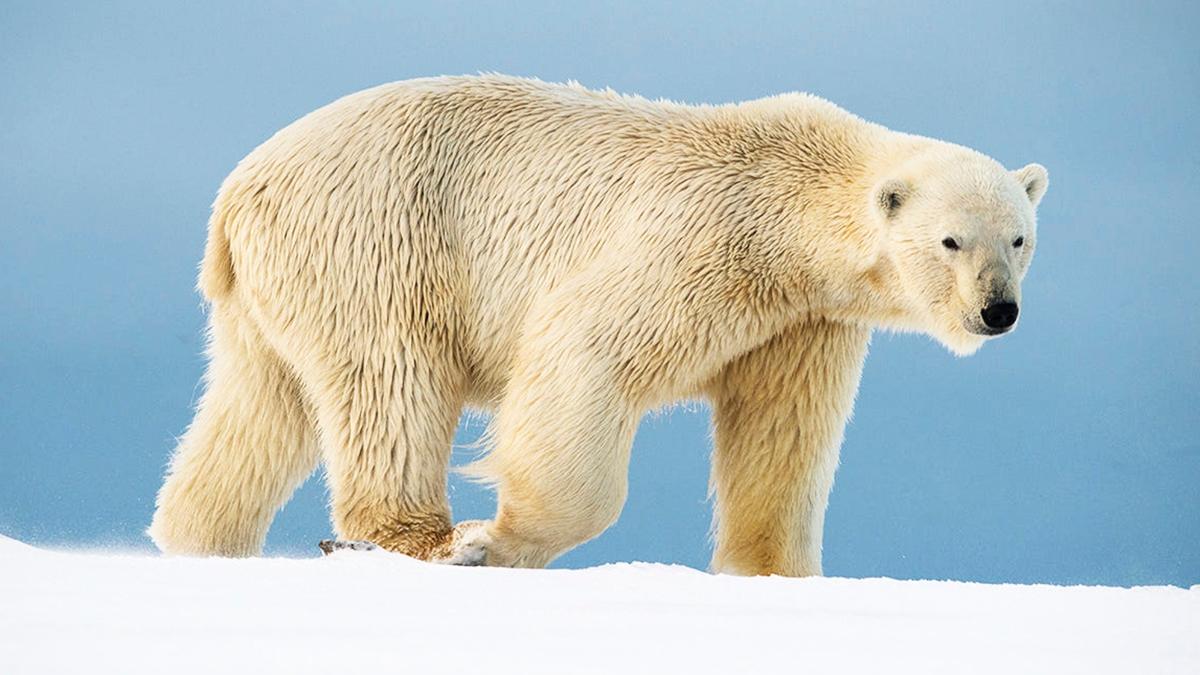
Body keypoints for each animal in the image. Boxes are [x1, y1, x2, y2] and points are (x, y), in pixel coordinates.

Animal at [148, 74, 1047, 576]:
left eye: (1019, 236)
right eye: (951, 239)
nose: (996, 310)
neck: (789, 209)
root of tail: (241, 186)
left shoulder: (799, 323)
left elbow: (780, 436)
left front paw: (772, 570)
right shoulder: (701, 240)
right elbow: (585, 350)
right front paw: (498, 540)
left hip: (278, 288)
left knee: (260, 409)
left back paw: (198, 537)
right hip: (376, 243)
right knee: (392, 385)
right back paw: (428, 540)